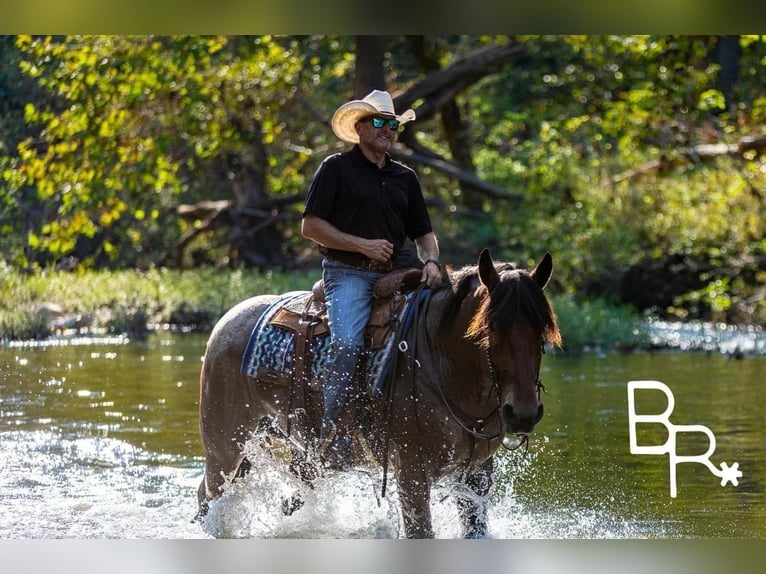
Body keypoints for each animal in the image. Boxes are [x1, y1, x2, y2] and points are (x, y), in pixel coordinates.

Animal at [195, 251, 560, 540]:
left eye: (542, 330)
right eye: (491, 327)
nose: (522, 413)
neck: (438, 360)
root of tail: (228, 319)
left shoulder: (477, 474)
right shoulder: (412, 474)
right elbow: (420, 533)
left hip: (299, 454)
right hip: (225, 447)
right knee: (207, 497)